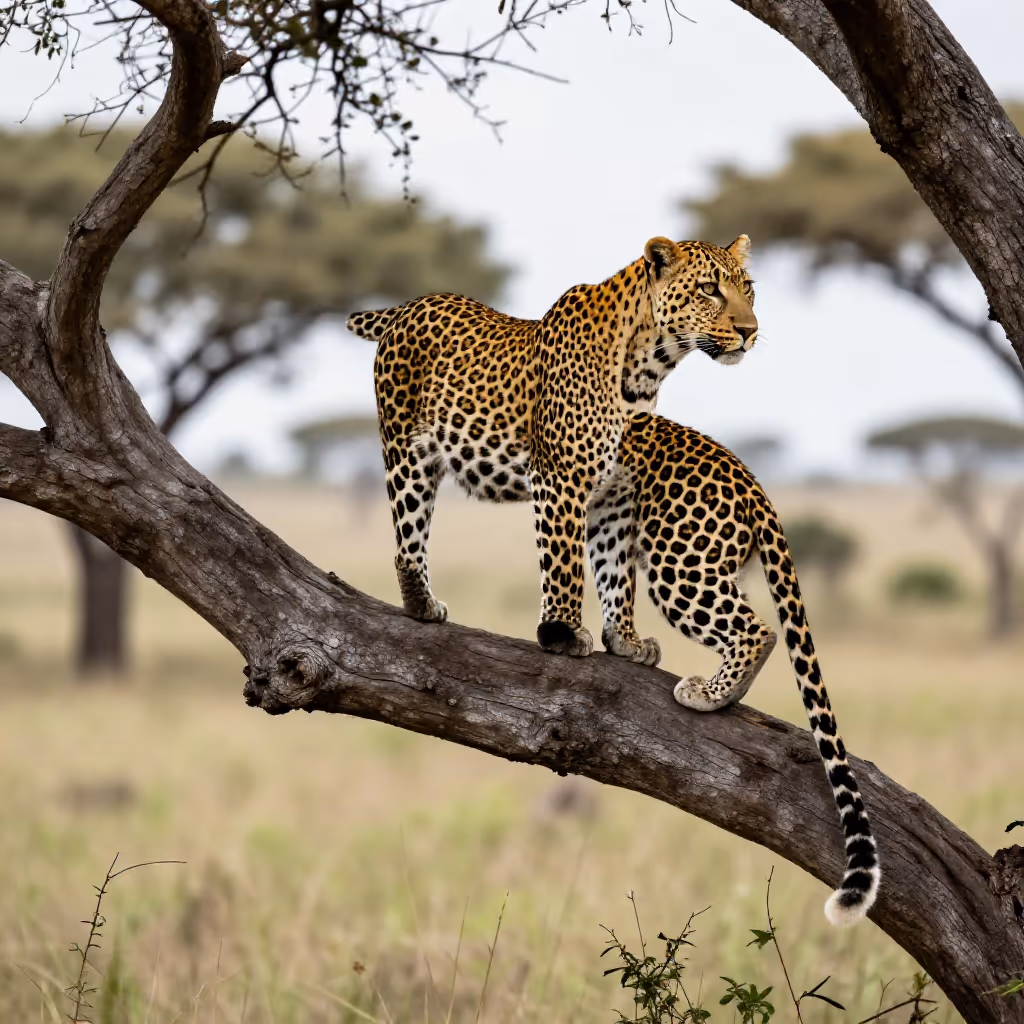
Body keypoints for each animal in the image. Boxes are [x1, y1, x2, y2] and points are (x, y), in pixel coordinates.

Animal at [346, 235, 757, 658]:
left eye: (748, 288)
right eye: (708, 289)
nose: (750, 330)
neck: (647, 367)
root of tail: (411, 304)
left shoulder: (618, 490)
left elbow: (616, 568)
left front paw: (625, 639)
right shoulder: (560, 477)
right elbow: (564, 558)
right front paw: (562, 632)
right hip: (406, 450)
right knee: (409, 528)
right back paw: (421, 603)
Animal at [588, 412, 880, 925]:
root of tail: (750, 478)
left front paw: (565, 635)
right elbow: (607, 569)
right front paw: (622, 642)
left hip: (680, 559)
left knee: (757, 630)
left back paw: (709, 693)